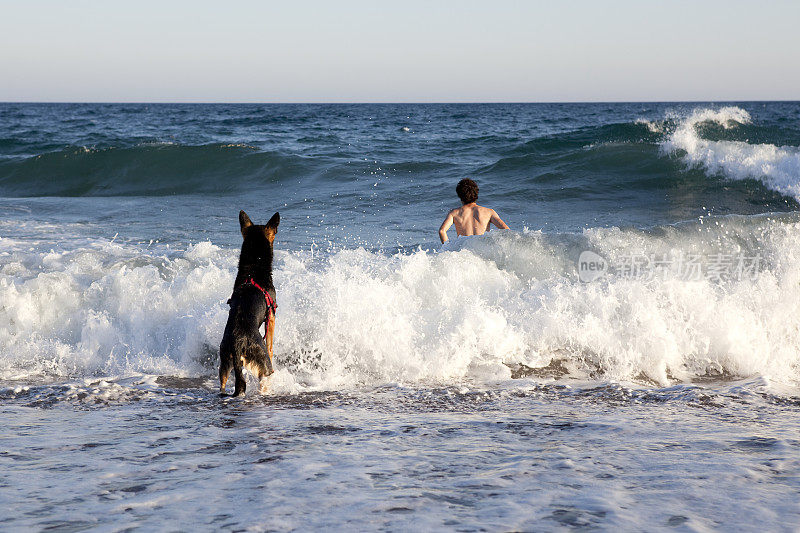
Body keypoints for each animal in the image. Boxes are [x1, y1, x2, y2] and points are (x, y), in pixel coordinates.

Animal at [219, 209, 282, 394]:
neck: (253, 269)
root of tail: (237, 343)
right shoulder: (271, 316)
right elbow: (270, 345)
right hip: (264, 366)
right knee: (265, 378)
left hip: (224, 364)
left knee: (223, 384)